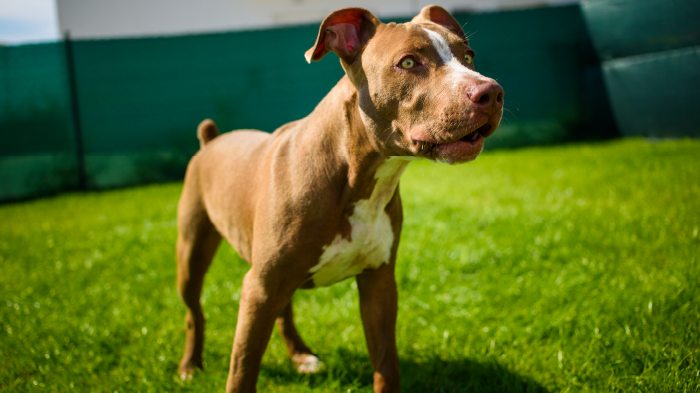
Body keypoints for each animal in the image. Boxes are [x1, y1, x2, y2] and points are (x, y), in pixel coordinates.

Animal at [175, 3, 504, 392]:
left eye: (468, 57)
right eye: (408, 62)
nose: (492, 92)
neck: (357, 178)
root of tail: (211, 140)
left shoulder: (379, 283)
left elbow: (386, 364)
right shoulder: (260, 287)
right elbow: (242, 370)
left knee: (283, 311)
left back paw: (300, 355)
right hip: (193, 253)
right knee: (194, 312)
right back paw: (190, 365)